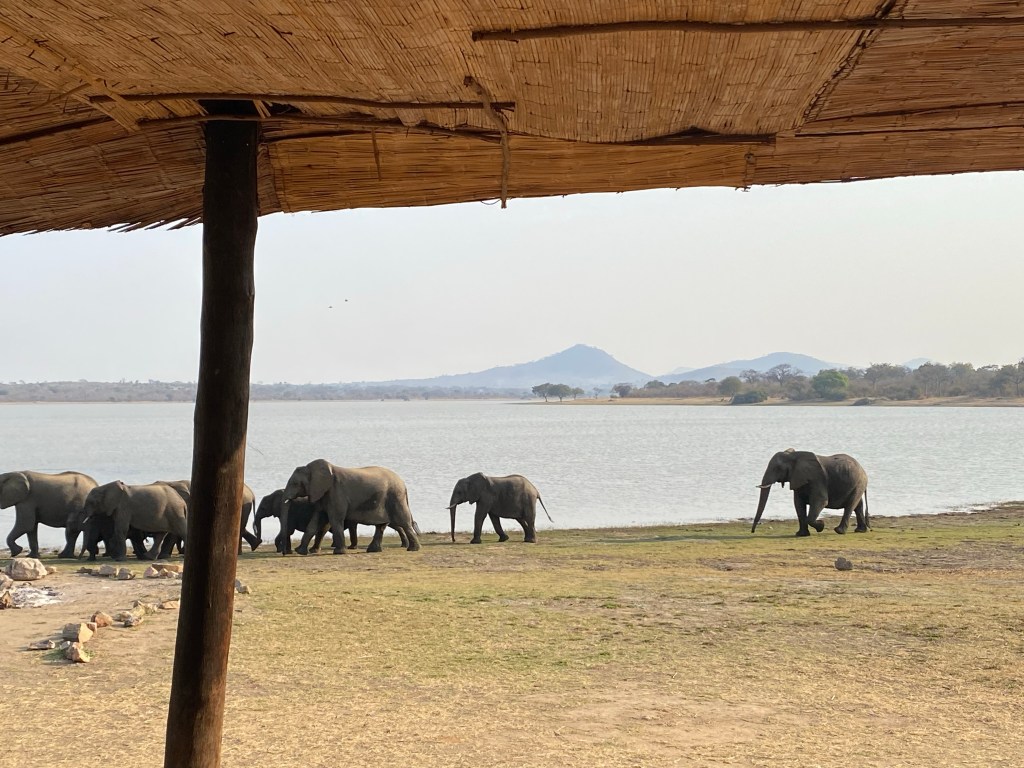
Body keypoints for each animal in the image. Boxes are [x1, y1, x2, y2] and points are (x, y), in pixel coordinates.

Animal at [280, 459, 421, 555]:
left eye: (295, 483)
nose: (285, 552)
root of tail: (403, 483)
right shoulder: (322, 494)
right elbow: (315, 521)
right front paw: (300, 551)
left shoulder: (336, 493)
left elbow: (335, 520)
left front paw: (338, 552)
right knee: (381, 526)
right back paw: (373, 550)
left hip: (395, 497)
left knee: (404, 522)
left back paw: (413, 549)